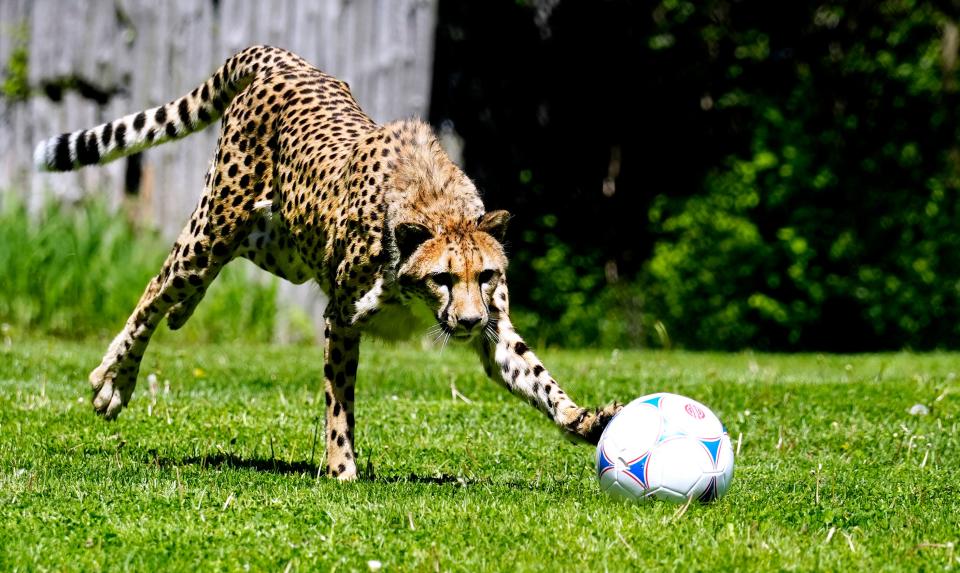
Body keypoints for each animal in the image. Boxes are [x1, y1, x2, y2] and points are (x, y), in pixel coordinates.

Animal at [31, 47, 624, 480]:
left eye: (486, 276)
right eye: (442, 278)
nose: (469, 319)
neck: (434, 207)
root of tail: (284, 59)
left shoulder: (494, 328)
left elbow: (535, 375)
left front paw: (586, 420)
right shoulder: (342, 318)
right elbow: (340, 402)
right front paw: (342, 469)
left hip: (281, 244)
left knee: (223, 261)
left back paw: (182, 314)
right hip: (215, 224)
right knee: (159, 285)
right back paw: (115, 377)